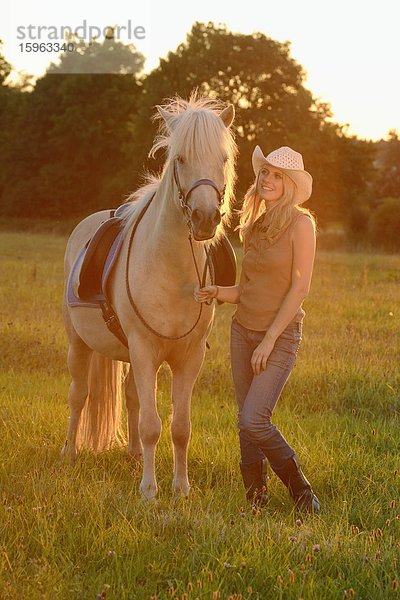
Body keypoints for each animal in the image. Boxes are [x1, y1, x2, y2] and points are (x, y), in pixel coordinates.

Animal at [60, 94, 236, 500]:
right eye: (180, 159)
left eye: (223, 159)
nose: (205, 218)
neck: (171, 270)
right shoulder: (144, 351)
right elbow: (152, 425)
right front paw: (149, 490)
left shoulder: (187, 359)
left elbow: (180, 427)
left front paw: (181, 487)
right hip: (80, 343)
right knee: (79, 395)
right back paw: (71, 452)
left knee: (130, 397)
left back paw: (134, 455)